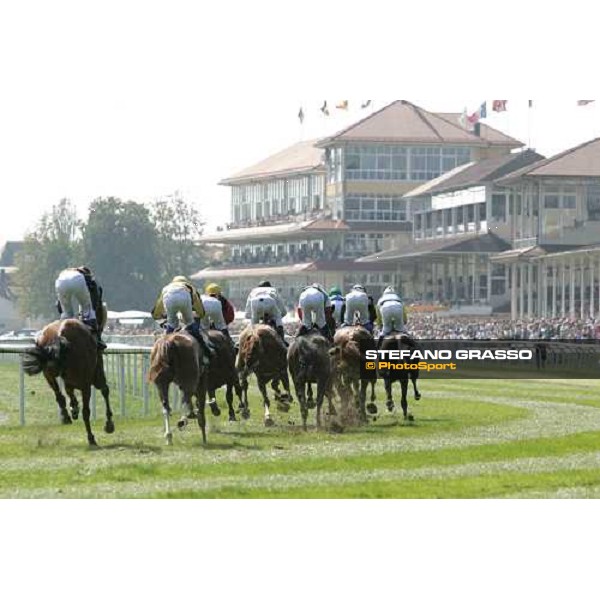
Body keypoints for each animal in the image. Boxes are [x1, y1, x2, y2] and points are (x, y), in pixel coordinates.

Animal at [22, 318, 114, 446]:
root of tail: (60, 334)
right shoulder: (93, 377)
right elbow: (104, 391)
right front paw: (108, 425)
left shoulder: (69, 380)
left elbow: (68, 393)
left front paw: (73, 408)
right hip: (87, 381)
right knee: (88, 407)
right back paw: (91, 437)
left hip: (48, 371)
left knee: (58, 394)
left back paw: (66, 415)